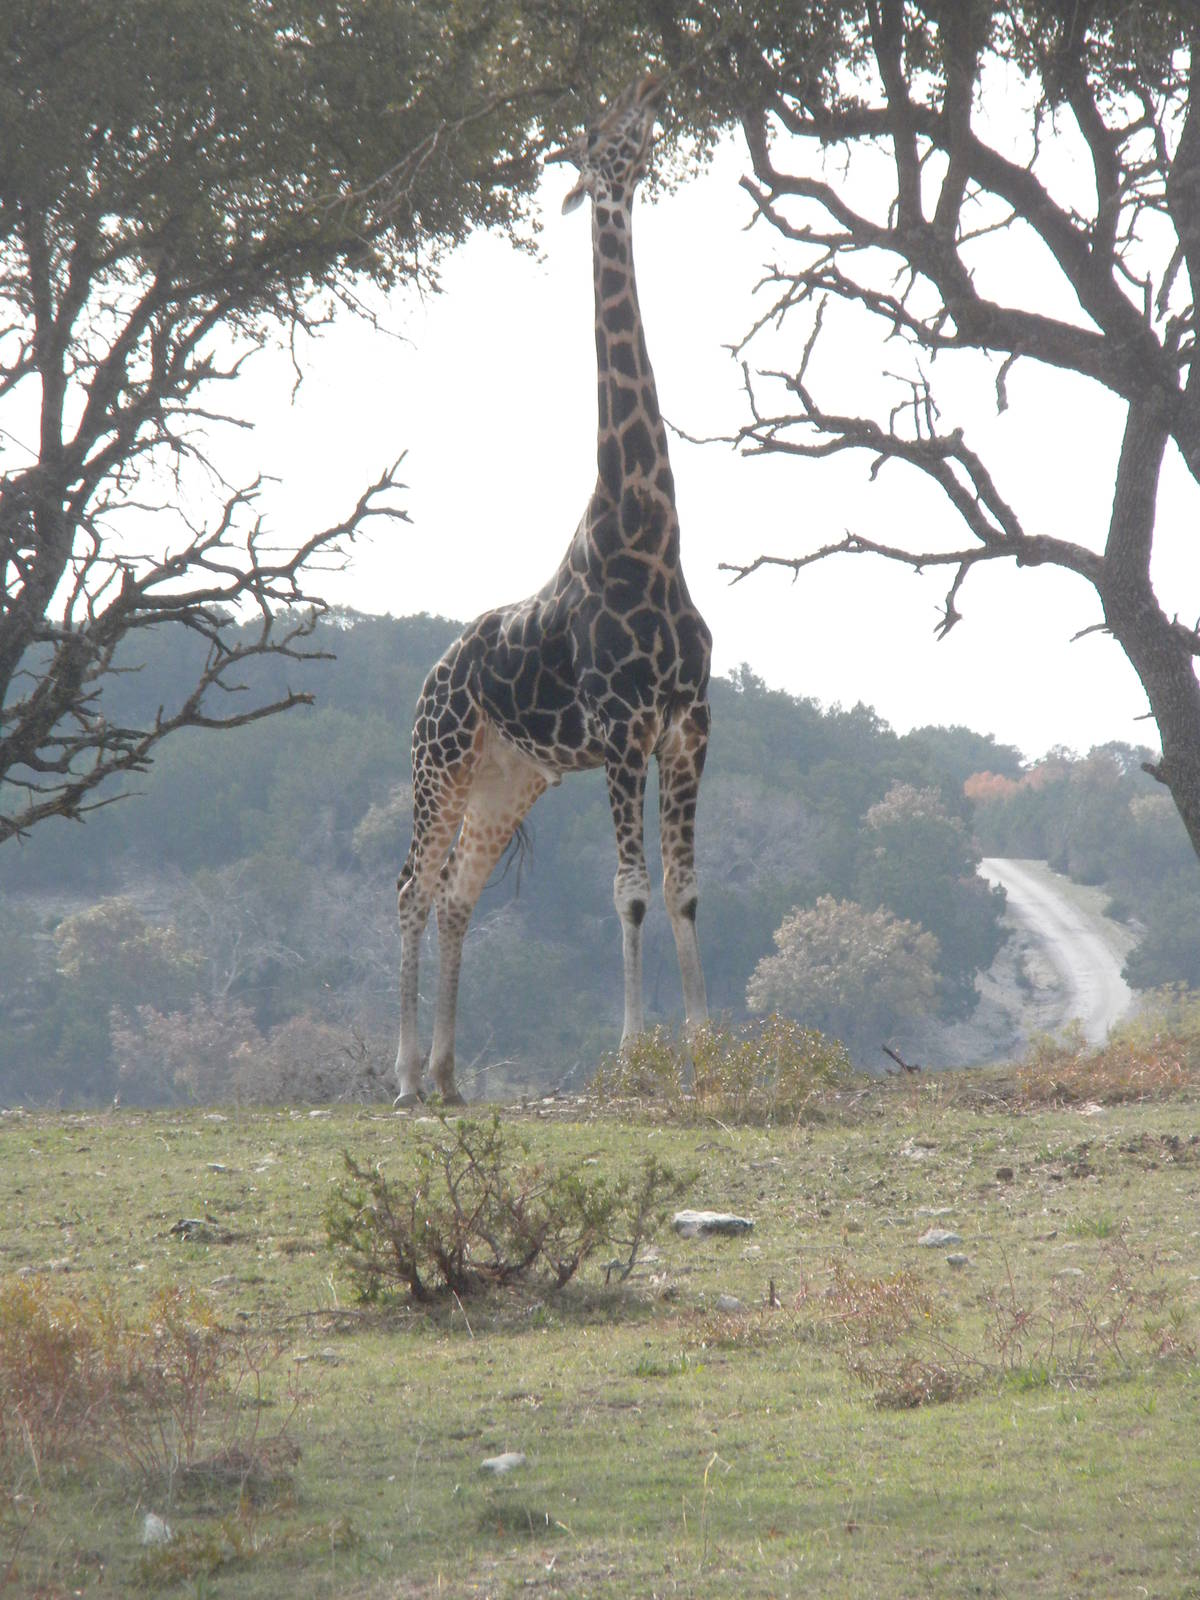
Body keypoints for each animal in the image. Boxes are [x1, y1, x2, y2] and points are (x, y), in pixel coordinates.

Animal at [392, 74, 710, 1105]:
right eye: (596, 135)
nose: (648, 91)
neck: (648, 537)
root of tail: (432, 676)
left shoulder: (688, 728)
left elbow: (685, 890)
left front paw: (712, 1051)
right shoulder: (622, 730)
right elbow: (632, 892)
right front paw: (636, 1057)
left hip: (510, 776)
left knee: (457, 894)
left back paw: (449, 1078)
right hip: (440, 762)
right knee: (411, 888)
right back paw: (404, 1078)